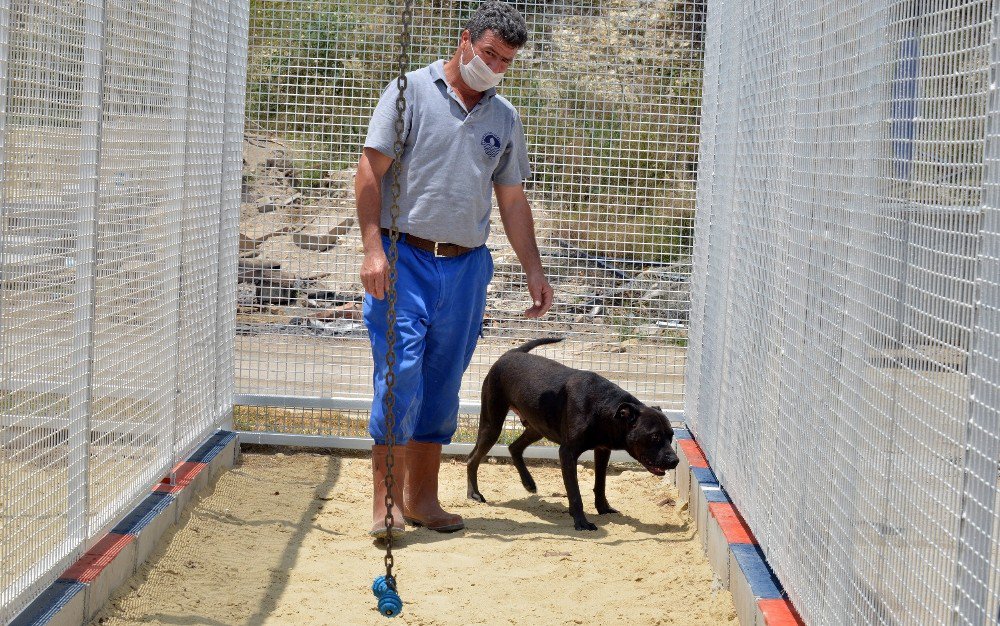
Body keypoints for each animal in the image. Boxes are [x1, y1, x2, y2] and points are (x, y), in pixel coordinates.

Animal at [468, 338, 680, 528]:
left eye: (671, 435)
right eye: (654, 436)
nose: (675, 461)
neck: (604, 407)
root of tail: (511, 352)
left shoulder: (602, 450)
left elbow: (600, 484)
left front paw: (603, 508)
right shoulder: (567, 453)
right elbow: (575, 493)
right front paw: (581, 522)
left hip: (538, 427)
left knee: (514, 447)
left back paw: (528, 482)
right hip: (492, 425)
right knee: (473, 458)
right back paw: (474, 494)